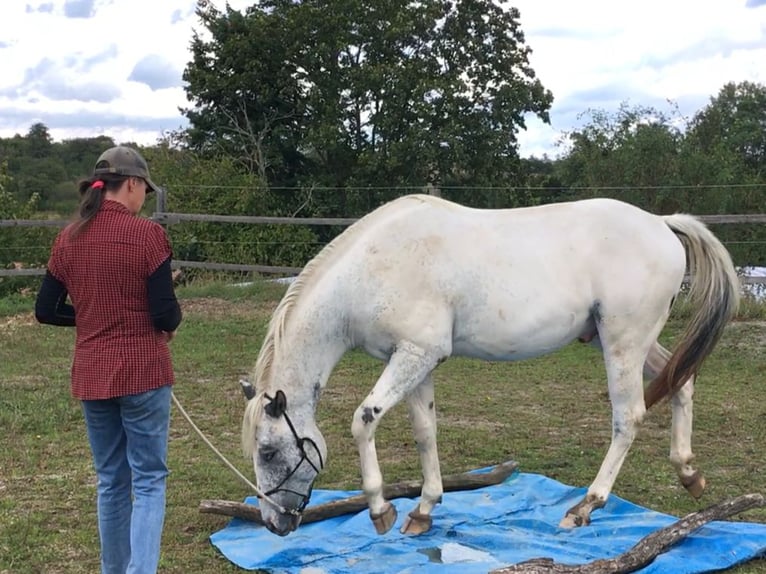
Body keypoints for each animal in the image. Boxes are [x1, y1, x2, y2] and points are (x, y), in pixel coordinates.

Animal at [243, 196, 740, 536]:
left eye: (267, 451)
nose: (274, 523)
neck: (372, 269)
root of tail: (661, 224)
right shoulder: (416, 360)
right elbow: (425, 432)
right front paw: (423, 510)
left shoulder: (415, 355)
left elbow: (363, 420)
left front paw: (381, 510)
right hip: (632, 343)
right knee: (681, 383)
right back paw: (688, 473)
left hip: (623, 344)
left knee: (628, 417)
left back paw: (586, 506)